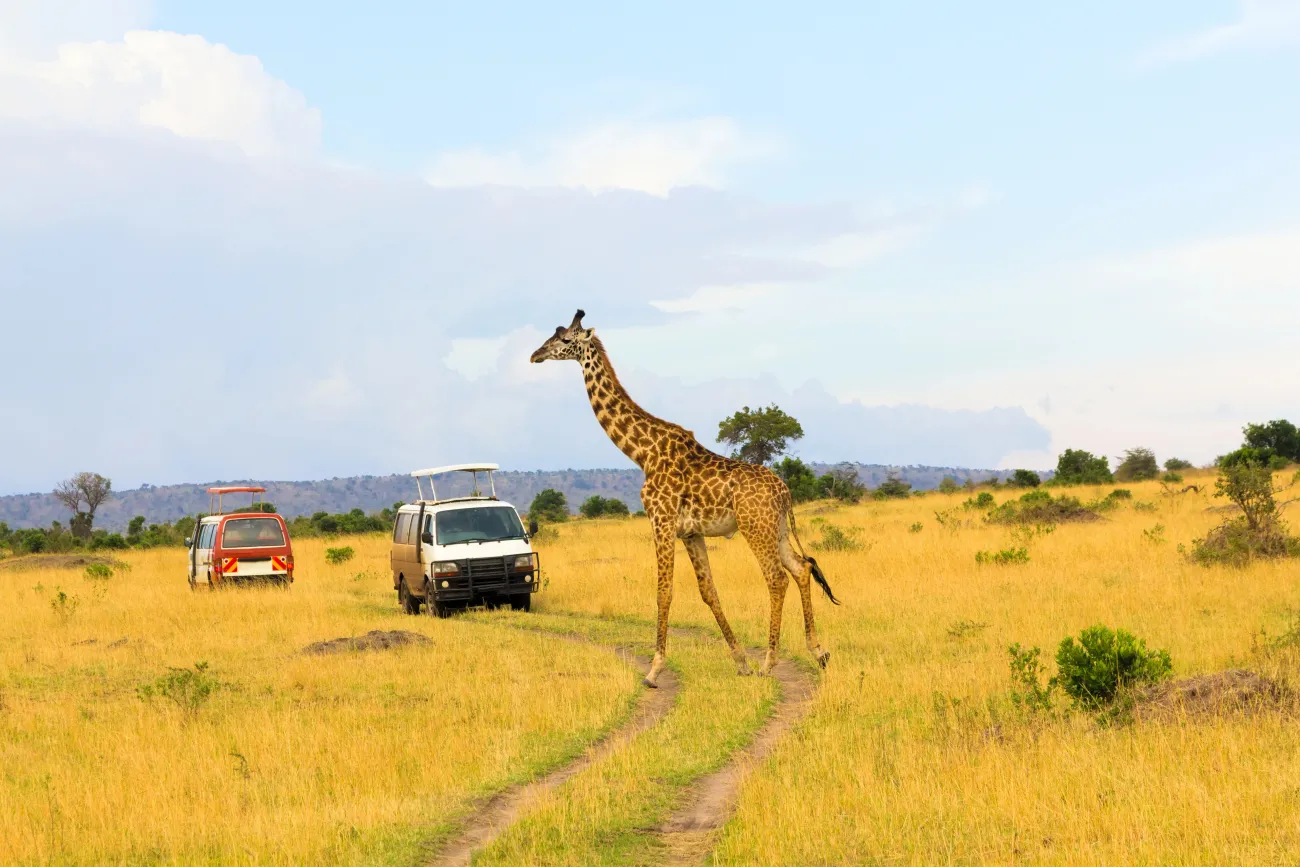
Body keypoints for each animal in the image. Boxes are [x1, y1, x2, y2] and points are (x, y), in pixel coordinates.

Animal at [530, 310, 840, 687]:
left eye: (563, 339)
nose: (535, 355)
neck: (642, 452)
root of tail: (785, 491)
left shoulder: (661, 521)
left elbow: (664, 590)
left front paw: (654, 669)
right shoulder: (691, 532)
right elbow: (709, 592)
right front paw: (740, 661)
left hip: (755, 528)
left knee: (777, 579)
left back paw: (769, 663)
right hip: (776, 529)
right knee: (801, 568)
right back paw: (818, 652)